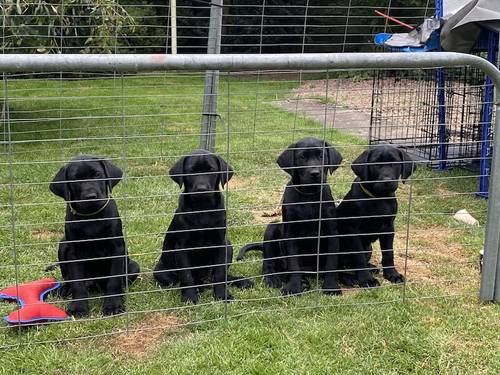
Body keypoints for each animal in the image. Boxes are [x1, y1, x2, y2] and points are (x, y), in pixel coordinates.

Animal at [50, 156, 140, 318]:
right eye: (75, 179)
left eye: (98, 174)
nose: (90, 197)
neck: (91, 216)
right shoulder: (74, 253)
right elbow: (77, 283)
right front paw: (78, 307)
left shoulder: (117, 249)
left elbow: (114, 281)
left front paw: (113, 305)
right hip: (63, 244)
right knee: (70, 279)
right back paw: (65, 289)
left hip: (133, 266)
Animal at [153, 150, 254, 306]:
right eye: (191, 171)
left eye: (211, 170)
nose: (201, 189)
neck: (203, 208)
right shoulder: (182, 247)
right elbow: (186, 275)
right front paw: (189, 297)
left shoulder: (221, 244)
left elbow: (220, 274)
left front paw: (222, 295)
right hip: (160, 271)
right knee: (182, 280)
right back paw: (198, 288)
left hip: (229, 246)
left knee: (217, 276)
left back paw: (241, 281)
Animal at [238, 137, 344, 296]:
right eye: (302, 157)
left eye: (321, 156)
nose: (315, 173)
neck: (309, 196)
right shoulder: (291, 234)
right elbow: (294, 264)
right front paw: (293, 288)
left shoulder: (332, 233)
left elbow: (331, 263)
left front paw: (331, 287)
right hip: (271, 229)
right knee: (269, 263)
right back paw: (276, 279)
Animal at [338, 145, 416, 286]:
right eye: (375, 164)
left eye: (395, 163)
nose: (387, 181)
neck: (378, 198)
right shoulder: (353, 231)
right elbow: (358, 257)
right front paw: (366, 279)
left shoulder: (388, 229)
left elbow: (388, 254)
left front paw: (392, 274)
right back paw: (349, 278)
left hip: (368, 248)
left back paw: (371, 268)